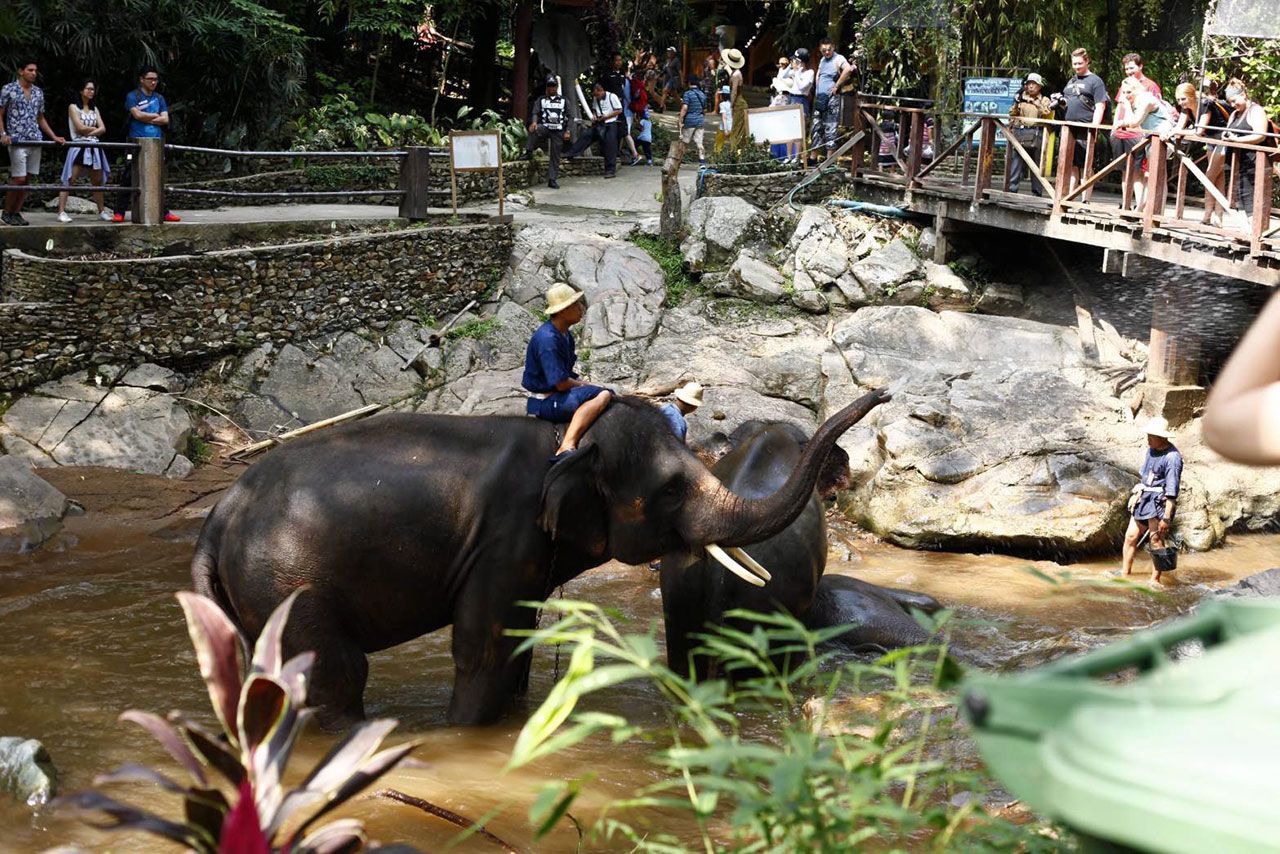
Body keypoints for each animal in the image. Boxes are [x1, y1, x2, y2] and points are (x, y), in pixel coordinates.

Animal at [192, 389, 890, 727]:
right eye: (669, 490)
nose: (881, 394)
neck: (568, 441)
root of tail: (218, 518)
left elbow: (518, 646)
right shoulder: (503, 537)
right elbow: (486, 649)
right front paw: (458, 738)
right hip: (289, 584)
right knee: (336, 674)